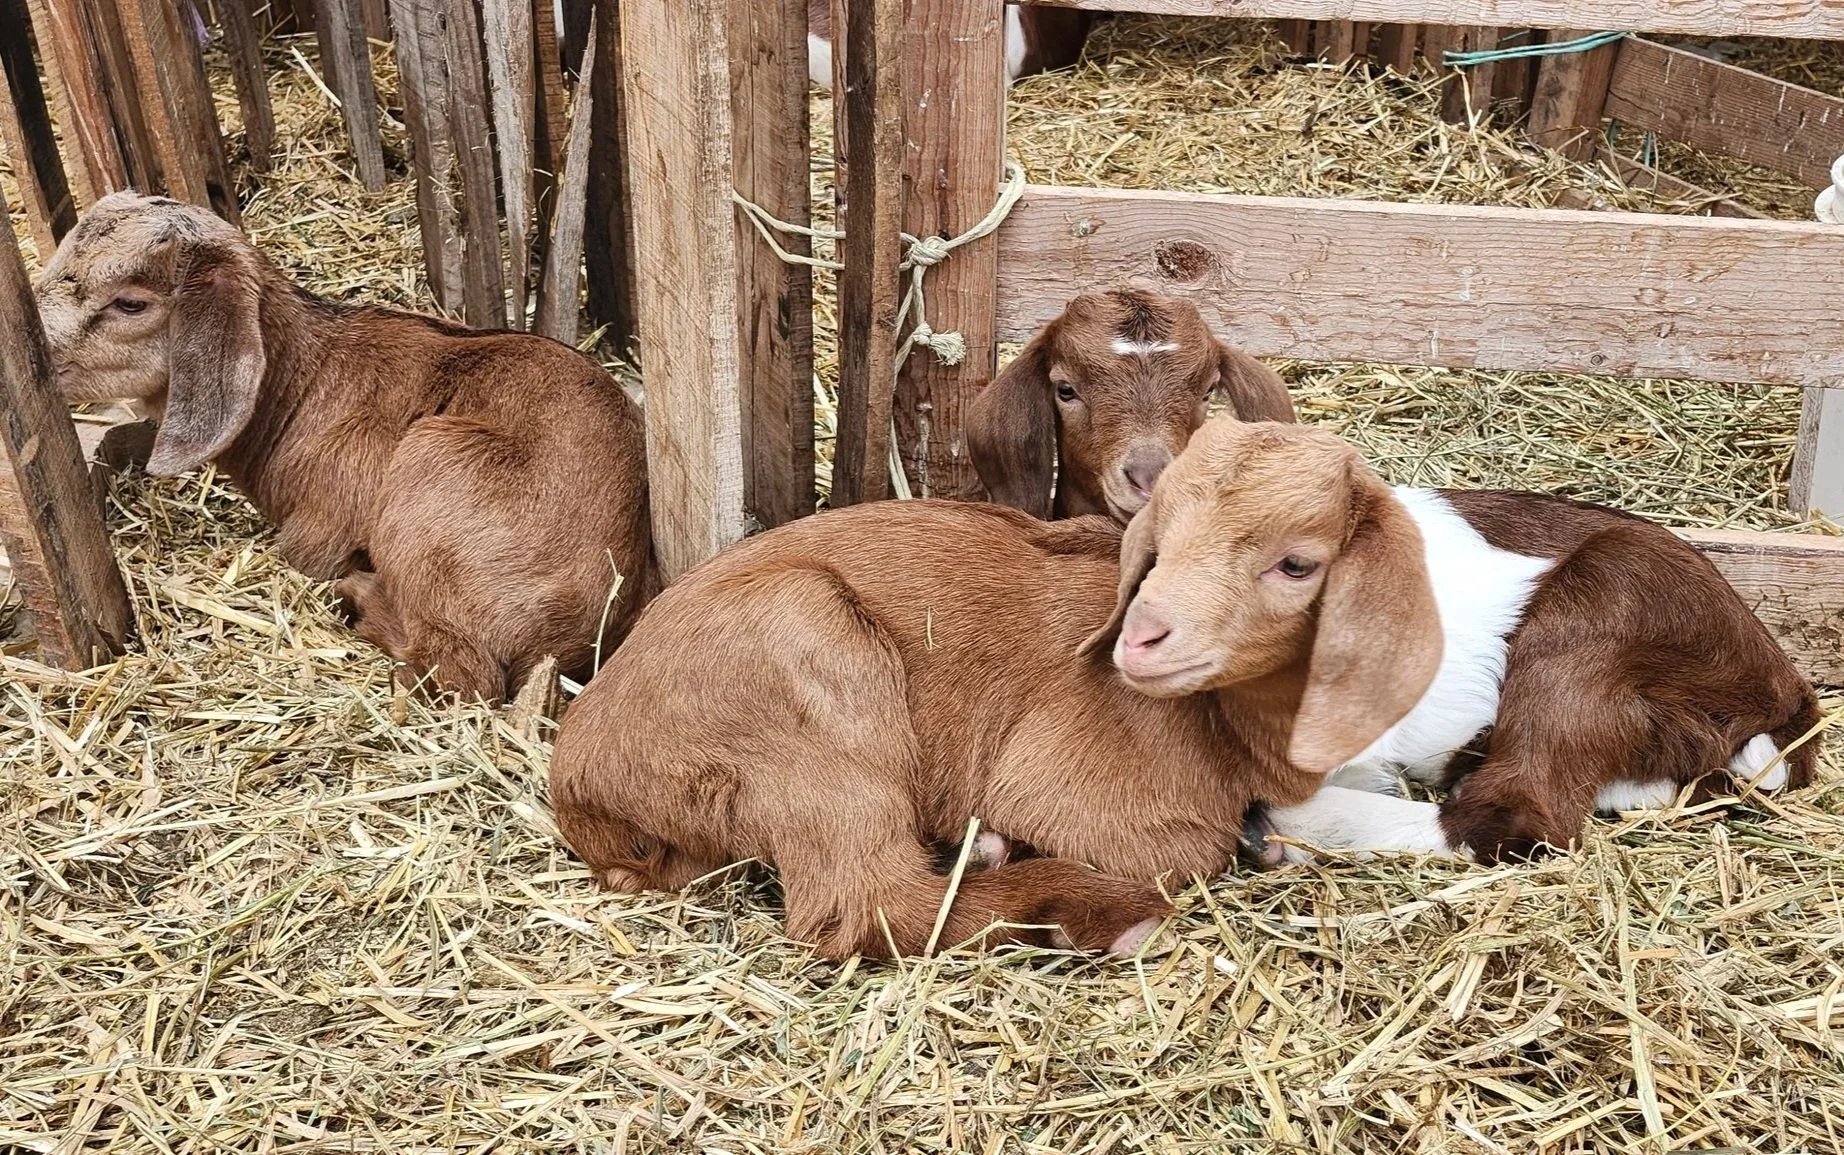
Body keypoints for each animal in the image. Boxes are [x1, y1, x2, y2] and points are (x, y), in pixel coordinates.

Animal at [35, 192, 657, 704]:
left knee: (456, 672)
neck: (307, 384)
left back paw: (361, 596)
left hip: (433, 472)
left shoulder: (317, 534)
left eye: (131, 303)